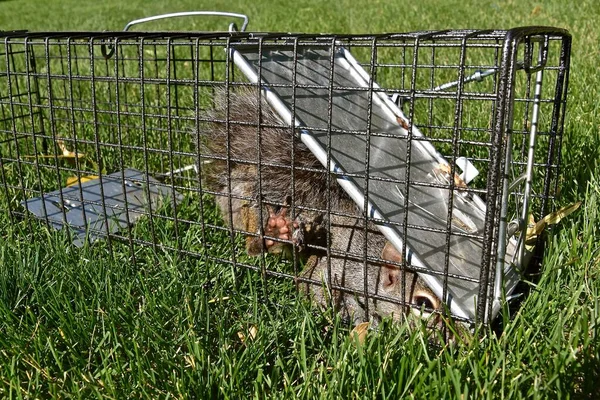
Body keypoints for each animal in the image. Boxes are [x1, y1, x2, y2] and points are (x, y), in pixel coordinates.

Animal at [195, 86, 442, 328]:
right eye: (424, 305)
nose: (450, 337)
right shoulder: (342, 265)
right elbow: (316, 286)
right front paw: (358, 320)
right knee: (258, 241)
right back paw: (275, 232)